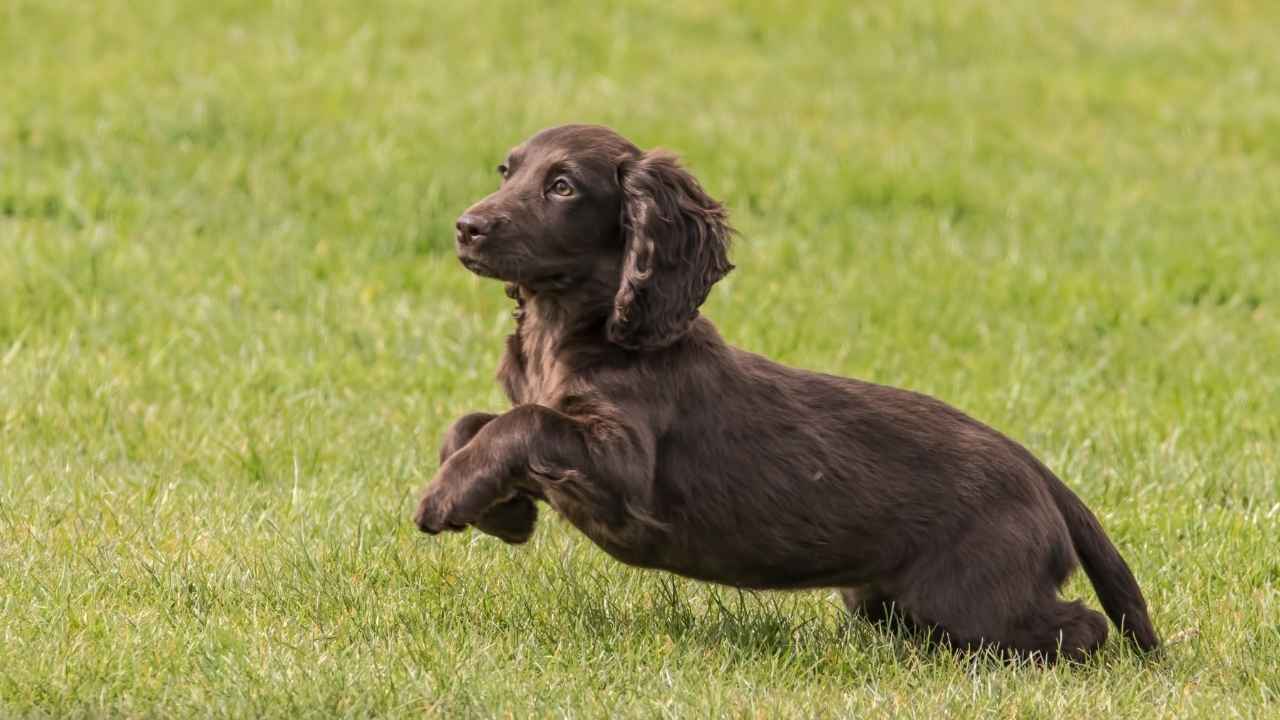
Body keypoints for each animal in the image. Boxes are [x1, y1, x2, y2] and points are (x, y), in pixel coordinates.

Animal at [412, 124, 1162, 661]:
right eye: (507, 172)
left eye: (563, 187)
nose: (465, 227)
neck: (577, 328)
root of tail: (1038, 470)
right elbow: (470, 421)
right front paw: (503, 511)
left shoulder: (625, 465)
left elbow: (523, 422)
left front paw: (446, 499)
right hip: (889, 597)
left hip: (974, 595)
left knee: (1080, 629)